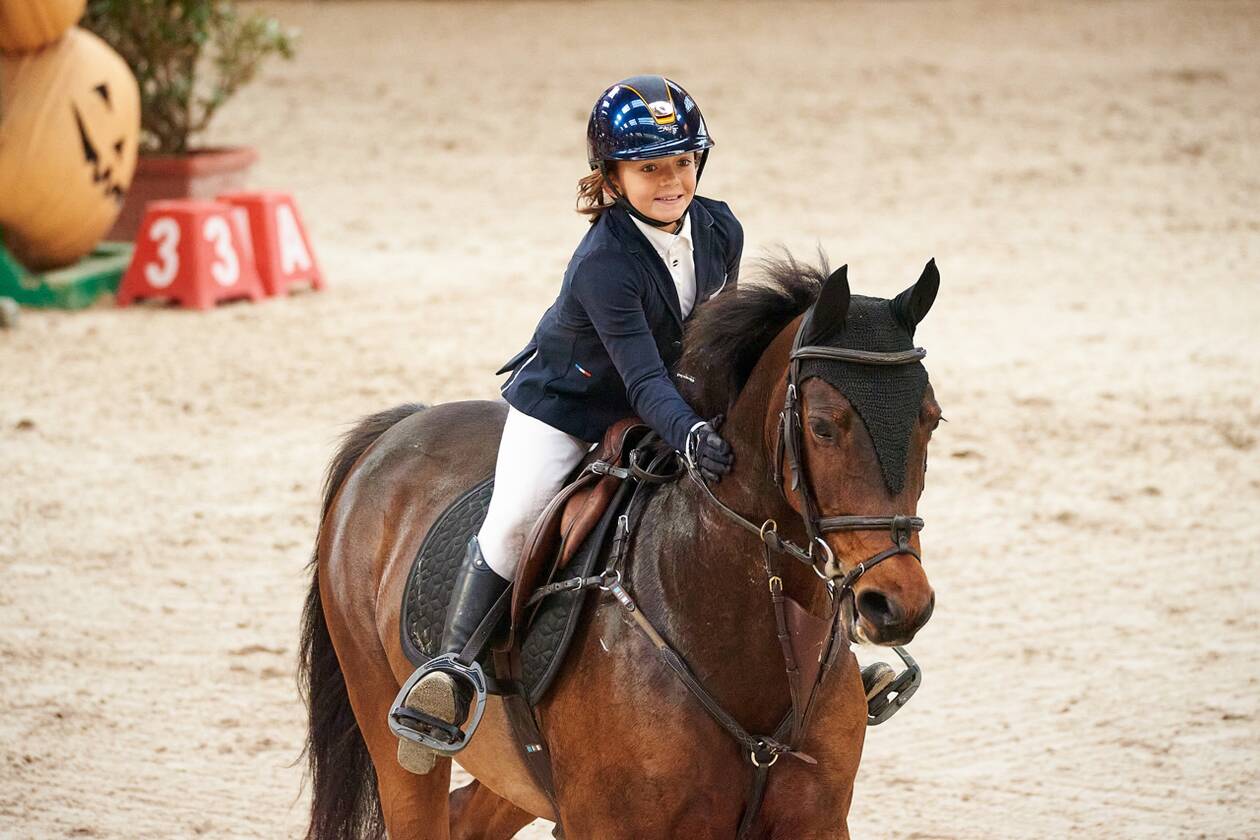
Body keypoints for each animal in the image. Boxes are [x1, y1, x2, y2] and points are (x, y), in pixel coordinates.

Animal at [299, 256, 942, 840]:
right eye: (824, 426)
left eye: (931, 420)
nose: (898, 605)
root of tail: (395, 433)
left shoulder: (818, 822)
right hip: (397, 739)